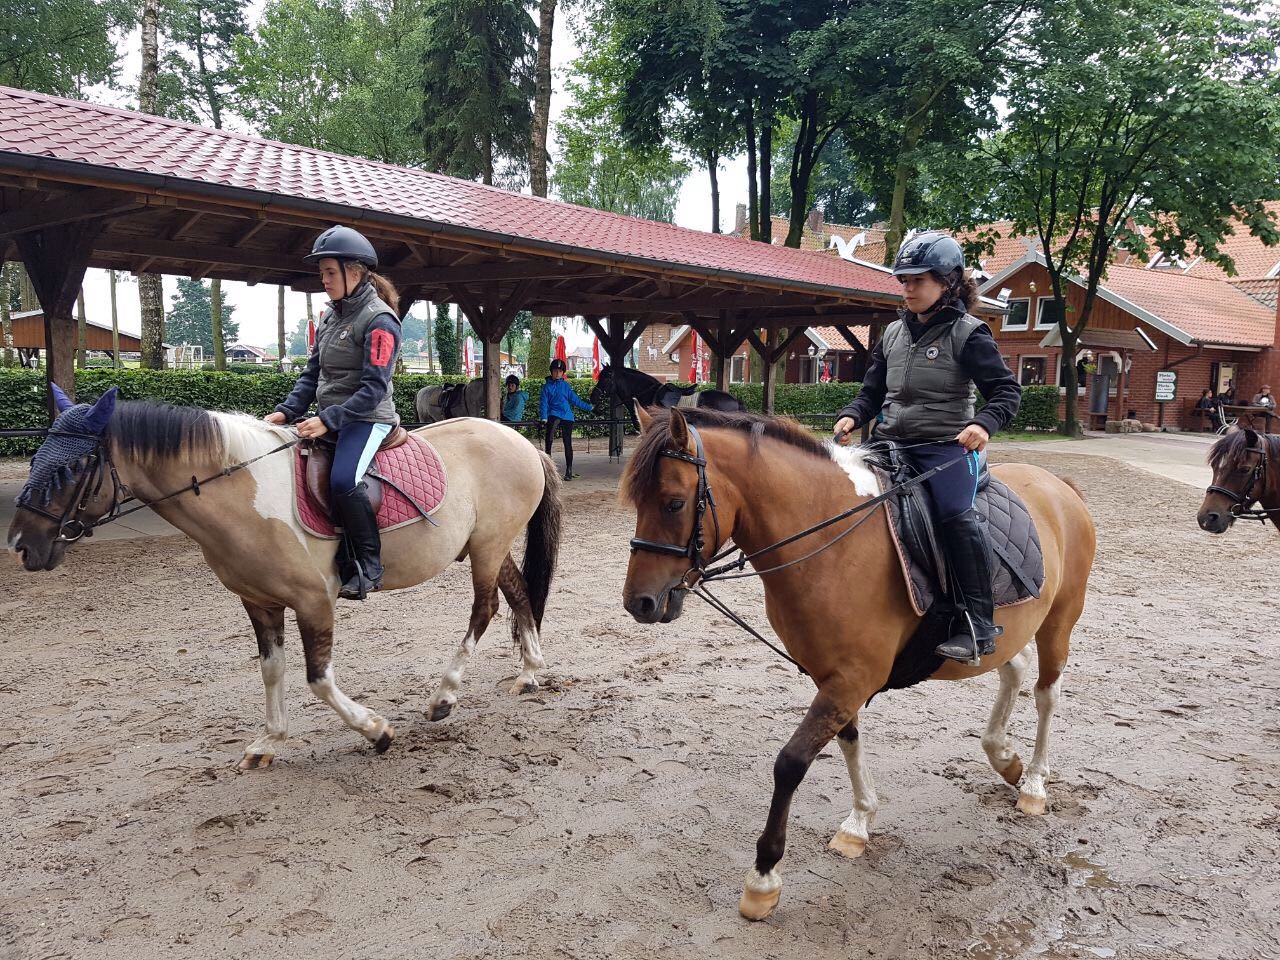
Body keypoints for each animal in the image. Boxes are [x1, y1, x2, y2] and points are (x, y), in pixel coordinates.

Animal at [8, 385, 562, 770]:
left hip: (486, 548)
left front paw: (376, 730)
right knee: (518, 595)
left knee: (485, 608)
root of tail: (518, 440)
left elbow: (318, 679)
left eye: (74, 466)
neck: (239, 490)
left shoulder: (314, 601)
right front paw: (269, 741)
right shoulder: (259, 602)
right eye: (36, 458)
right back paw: (530, 672)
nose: (21, 545)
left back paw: (444, 697)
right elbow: (271, 670)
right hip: (488, 546)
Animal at [620, 406, 1095, 920]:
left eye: (673, 503)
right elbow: (848, 741)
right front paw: (859, 823)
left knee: (1047, 694)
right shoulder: (833, 675)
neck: (830, 542)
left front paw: (763, 878)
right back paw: (1004, 758)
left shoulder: (851, 678)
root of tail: (1059, 485)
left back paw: (1033, 783)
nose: (639, 603)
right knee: (1014, 668)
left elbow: (790, 763)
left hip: (1060, 620)